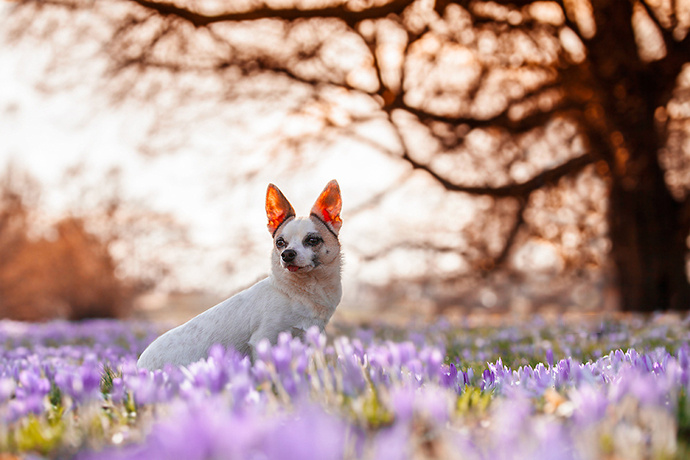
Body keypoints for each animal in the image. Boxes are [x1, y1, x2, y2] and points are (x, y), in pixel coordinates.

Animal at [138, 180, 344, 370]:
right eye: (280, 243)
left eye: (312, 240)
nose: (287, 254)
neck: (300, 291)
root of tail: (138, 366)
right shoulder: (264, 339)